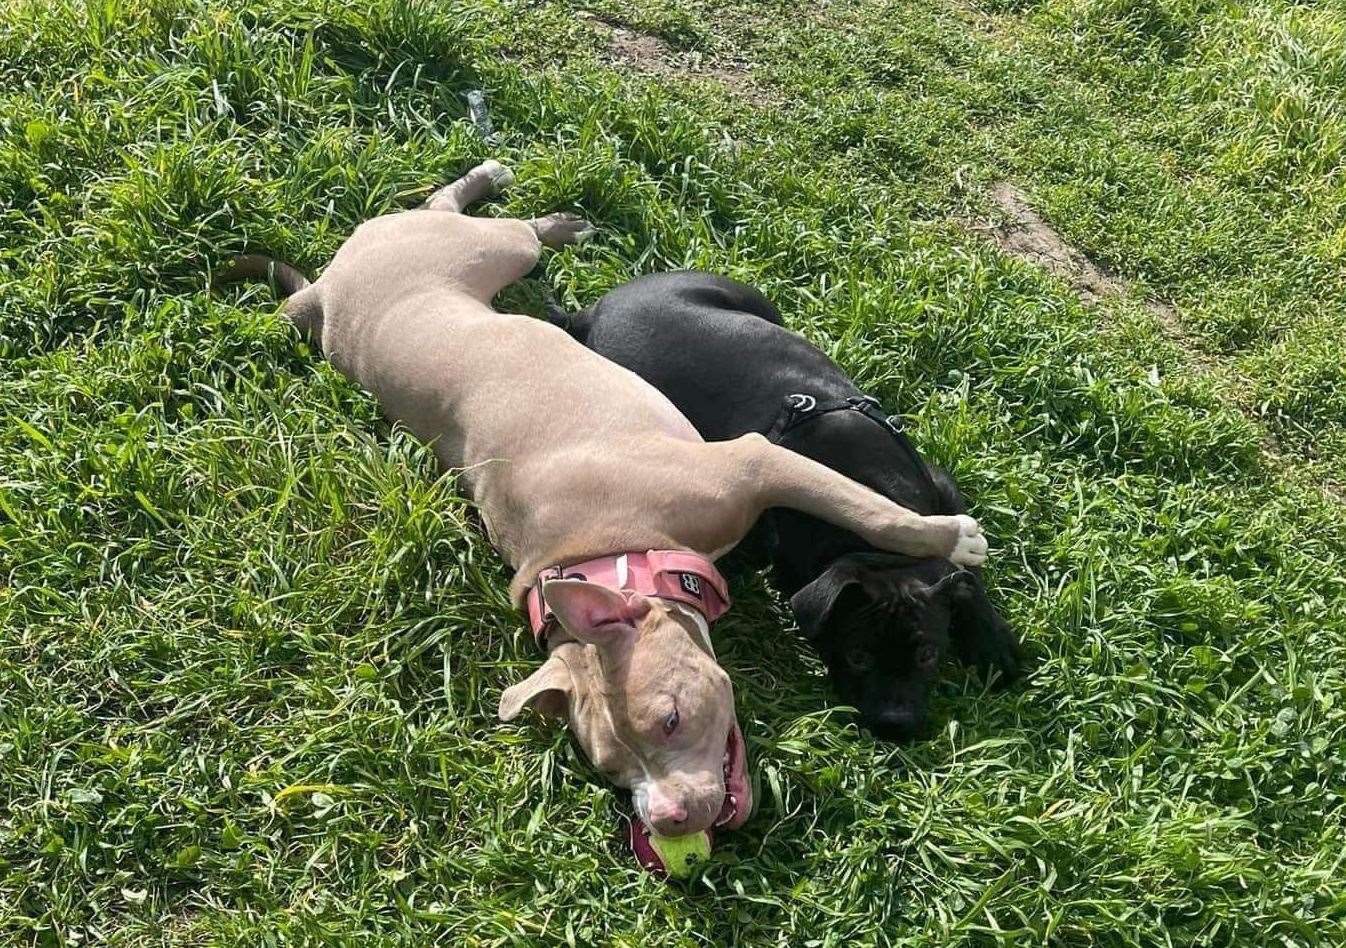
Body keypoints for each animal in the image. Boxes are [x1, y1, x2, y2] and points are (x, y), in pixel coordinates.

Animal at [549, 270, 1017, 737]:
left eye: (928, 655)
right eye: (857, 656)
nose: (895, 726)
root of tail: (597, 308)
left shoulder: (941, 485)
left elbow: (966, 576)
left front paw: (995, 642)